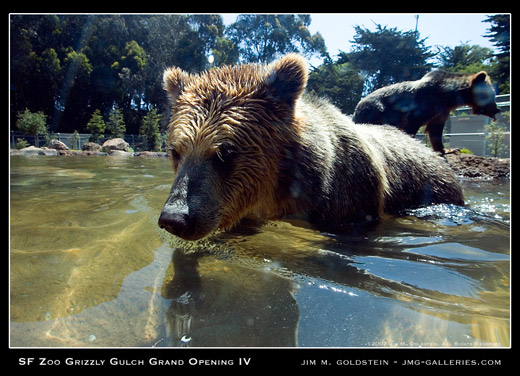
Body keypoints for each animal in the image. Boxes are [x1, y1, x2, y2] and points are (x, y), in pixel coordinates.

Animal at [350, 70, 500, 153]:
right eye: (490, 95)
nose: (497, 109)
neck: (448, 96)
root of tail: (357, 107)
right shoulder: (424, 103)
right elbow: (412, 123)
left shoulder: (441, 112)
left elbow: (435, 131)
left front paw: (448, 149)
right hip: (378, 111)